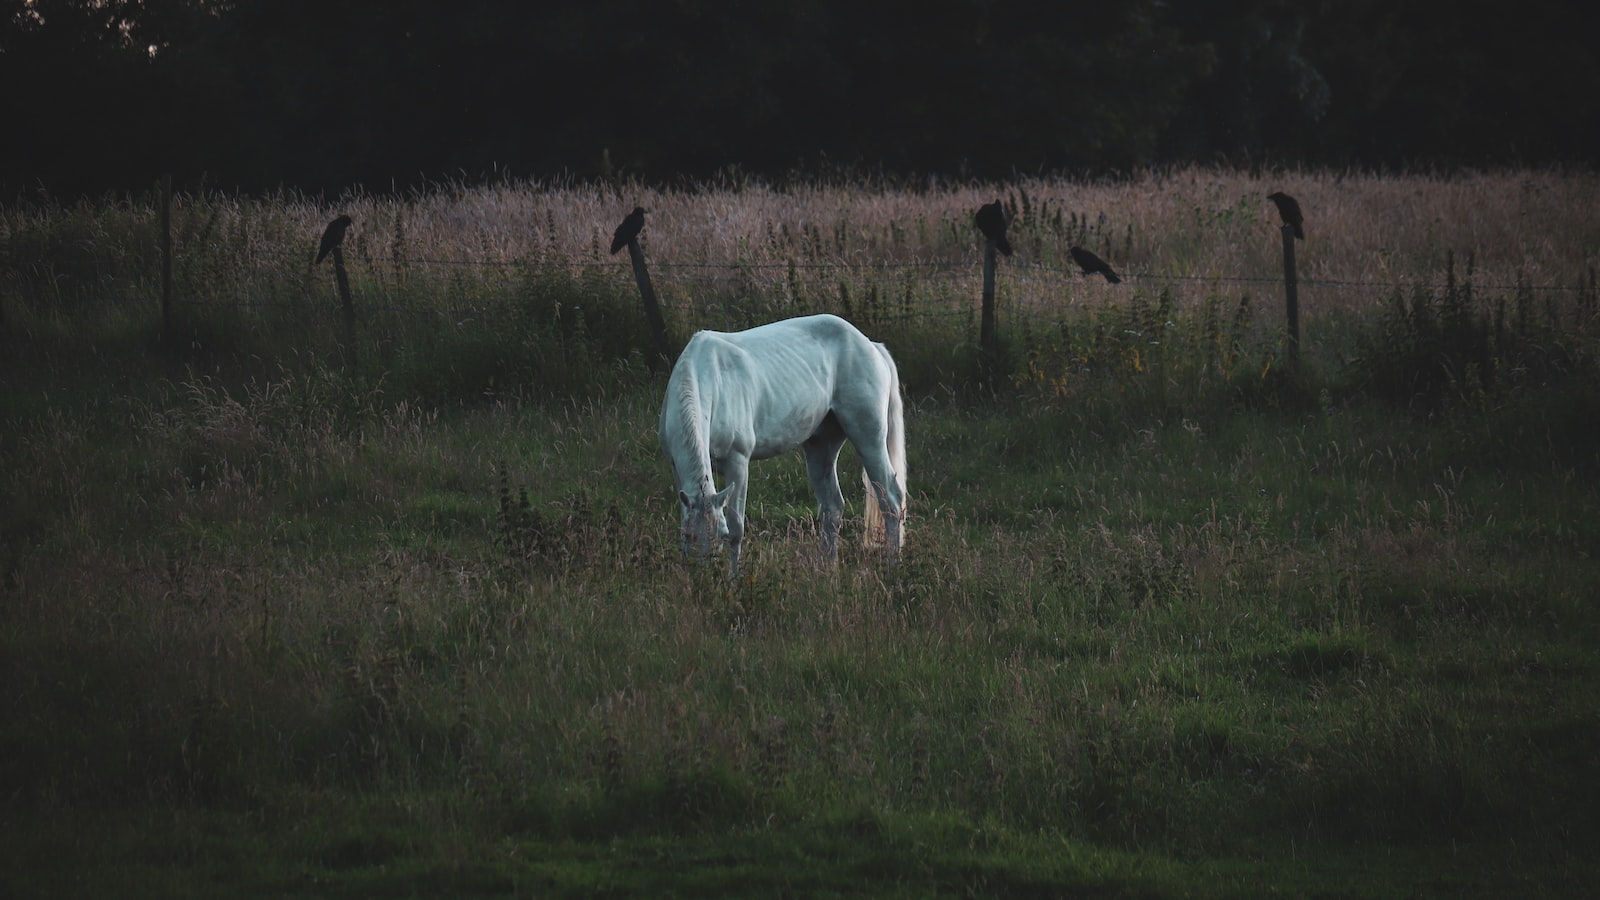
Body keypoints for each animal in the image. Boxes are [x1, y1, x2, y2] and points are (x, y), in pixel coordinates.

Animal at [656, 312, 908, 570]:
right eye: (690, 536)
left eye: (721, 535)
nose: (706, 574)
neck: (708, 376)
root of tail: (872, 346)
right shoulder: (677, 469)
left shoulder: (738, 463)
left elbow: (737, 528)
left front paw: (733, 578)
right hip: (822, 447)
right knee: (832, 508)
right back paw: (827, 569)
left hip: (869, 440)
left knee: (891, 499)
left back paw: (892, 564)